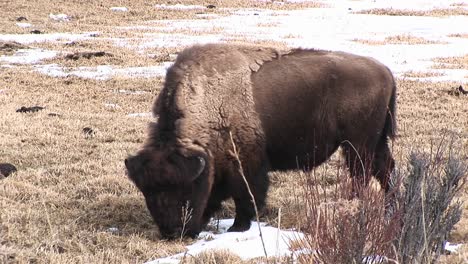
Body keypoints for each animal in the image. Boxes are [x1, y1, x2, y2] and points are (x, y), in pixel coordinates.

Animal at [124, 43, 394, 239]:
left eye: (186, 189)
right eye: (148, 192)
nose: (172, 232)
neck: (209, 104)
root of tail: (384, 70)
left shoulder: (246, 164)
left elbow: (247, 195)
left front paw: (238, 227)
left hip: (357, 145)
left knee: (362, 175)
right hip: (375, 144)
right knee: (385, 170)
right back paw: (390, 206)